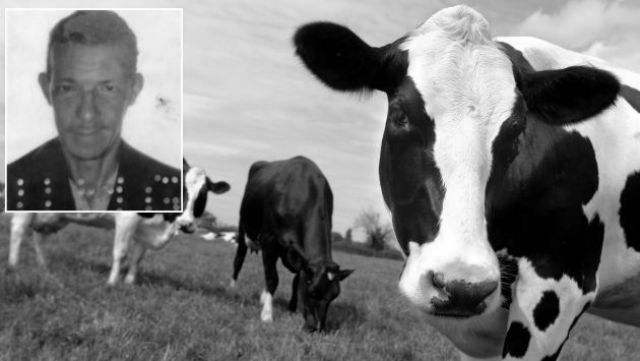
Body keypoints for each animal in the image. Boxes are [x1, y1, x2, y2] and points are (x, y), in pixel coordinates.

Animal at [5, 160, 230, 284]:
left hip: (49, 216)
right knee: (17, 232)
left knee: (38, 239)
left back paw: (43, 266)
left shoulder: (144, 230)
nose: (186, 224)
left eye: (203, 193)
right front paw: (112, 283)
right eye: (179, 189)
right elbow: (121, 253)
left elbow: (137, 258)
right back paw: (13, 265)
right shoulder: (127, 218)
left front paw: (129, 282)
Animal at [230, 156, 352, 330]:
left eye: (334, 296)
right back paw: (233, 287)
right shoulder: (269, 242)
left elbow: (295, 280)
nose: (318, 328)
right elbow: (272, 278)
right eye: (312, 292)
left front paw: (292, 307)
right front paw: (267, 315)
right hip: (243, 227)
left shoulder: (301, 257)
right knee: (239, 259)